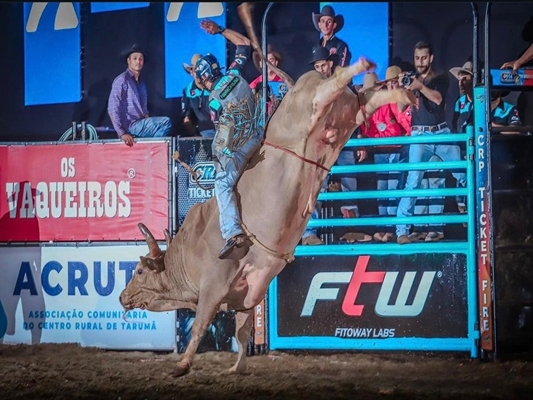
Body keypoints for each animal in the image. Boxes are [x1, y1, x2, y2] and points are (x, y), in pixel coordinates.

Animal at [117, 3, 416, 378]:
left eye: (139, 271)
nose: (122, 297)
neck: (187, 250)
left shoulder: (213, 286)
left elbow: (199, 325)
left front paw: (182, 365)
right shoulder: (247, 296)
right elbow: (244, 331)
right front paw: (236, 368)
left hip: (314, 103)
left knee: (331, 84)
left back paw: (361, 66)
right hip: (348, 114)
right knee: (368, 98)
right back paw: (398, 89)